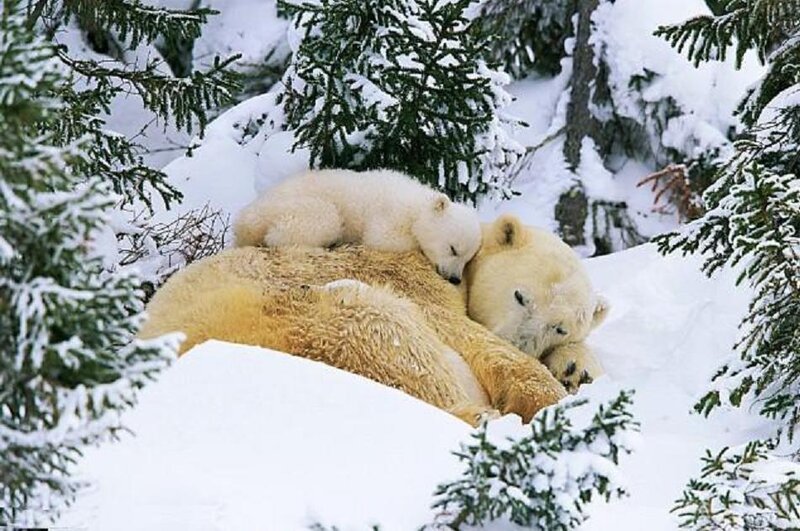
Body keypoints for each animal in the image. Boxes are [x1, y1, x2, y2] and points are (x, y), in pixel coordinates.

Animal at [140, 215, 607, 425]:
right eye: (520, 296)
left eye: (561, 326)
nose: (522, 338)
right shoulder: (412, 281)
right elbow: (471, 339)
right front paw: (552, 400)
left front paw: (574, 367)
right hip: (308, 315)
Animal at [233, 168, 482, 285]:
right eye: (453, 249)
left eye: (467, 258)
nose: (455, 279)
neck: (415, 205)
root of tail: (246, 217)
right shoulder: (389, 215)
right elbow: (382, 238)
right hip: (300, 207)